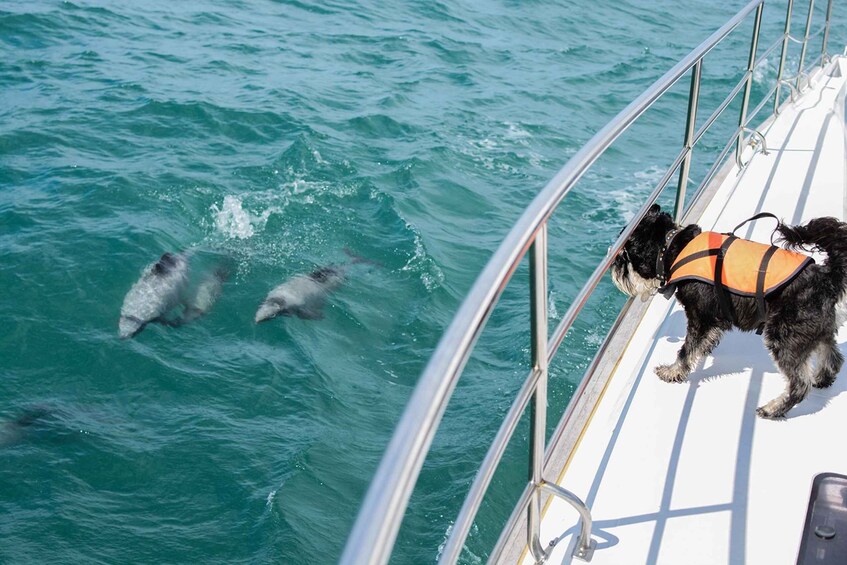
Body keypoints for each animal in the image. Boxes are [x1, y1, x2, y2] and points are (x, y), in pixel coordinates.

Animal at [612, 205, 847, 416]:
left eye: (624, 256)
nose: (614, 269)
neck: (673, 249)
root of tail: (828, 279)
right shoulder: (713, 316)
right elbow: (706, 338)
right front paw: (704, 349)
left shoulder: (699, 316)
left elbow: (686, 349)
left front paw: (672, 371)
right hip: (817, 331)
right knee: (833, 357)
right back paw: (822, 379)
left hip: (784, 336)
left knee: (799, 384)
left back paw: (773, 409)